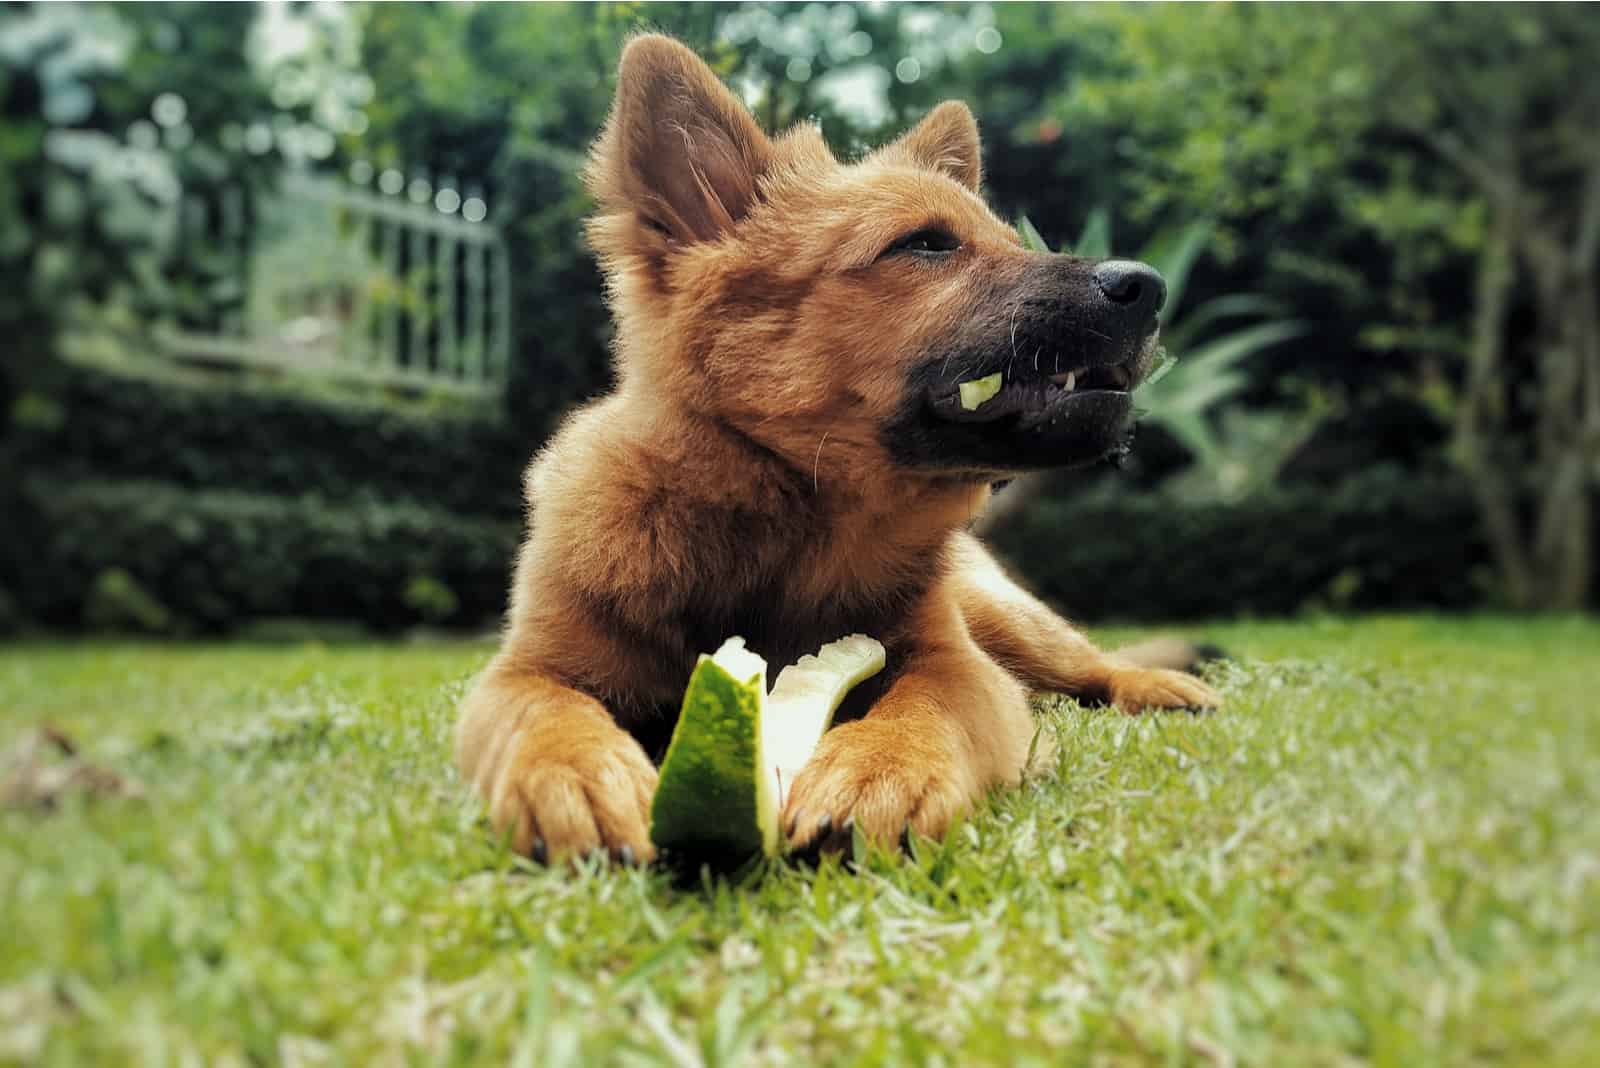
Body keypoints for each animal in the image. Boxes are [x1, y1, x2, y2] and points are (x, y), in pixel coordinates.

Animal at [457, 33, 1216, 863]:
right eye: (925, 244)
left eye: (1009, 242)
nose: (1149, 288)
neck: (784, 545)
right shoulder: (519, 671)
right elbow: (541, 711)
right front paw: (573, 774)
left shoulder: (958, 666)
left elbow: (926, 706)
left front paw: (881, 769)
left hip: (1011, 621)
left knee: (1093, 664)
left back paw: (1158, 687)